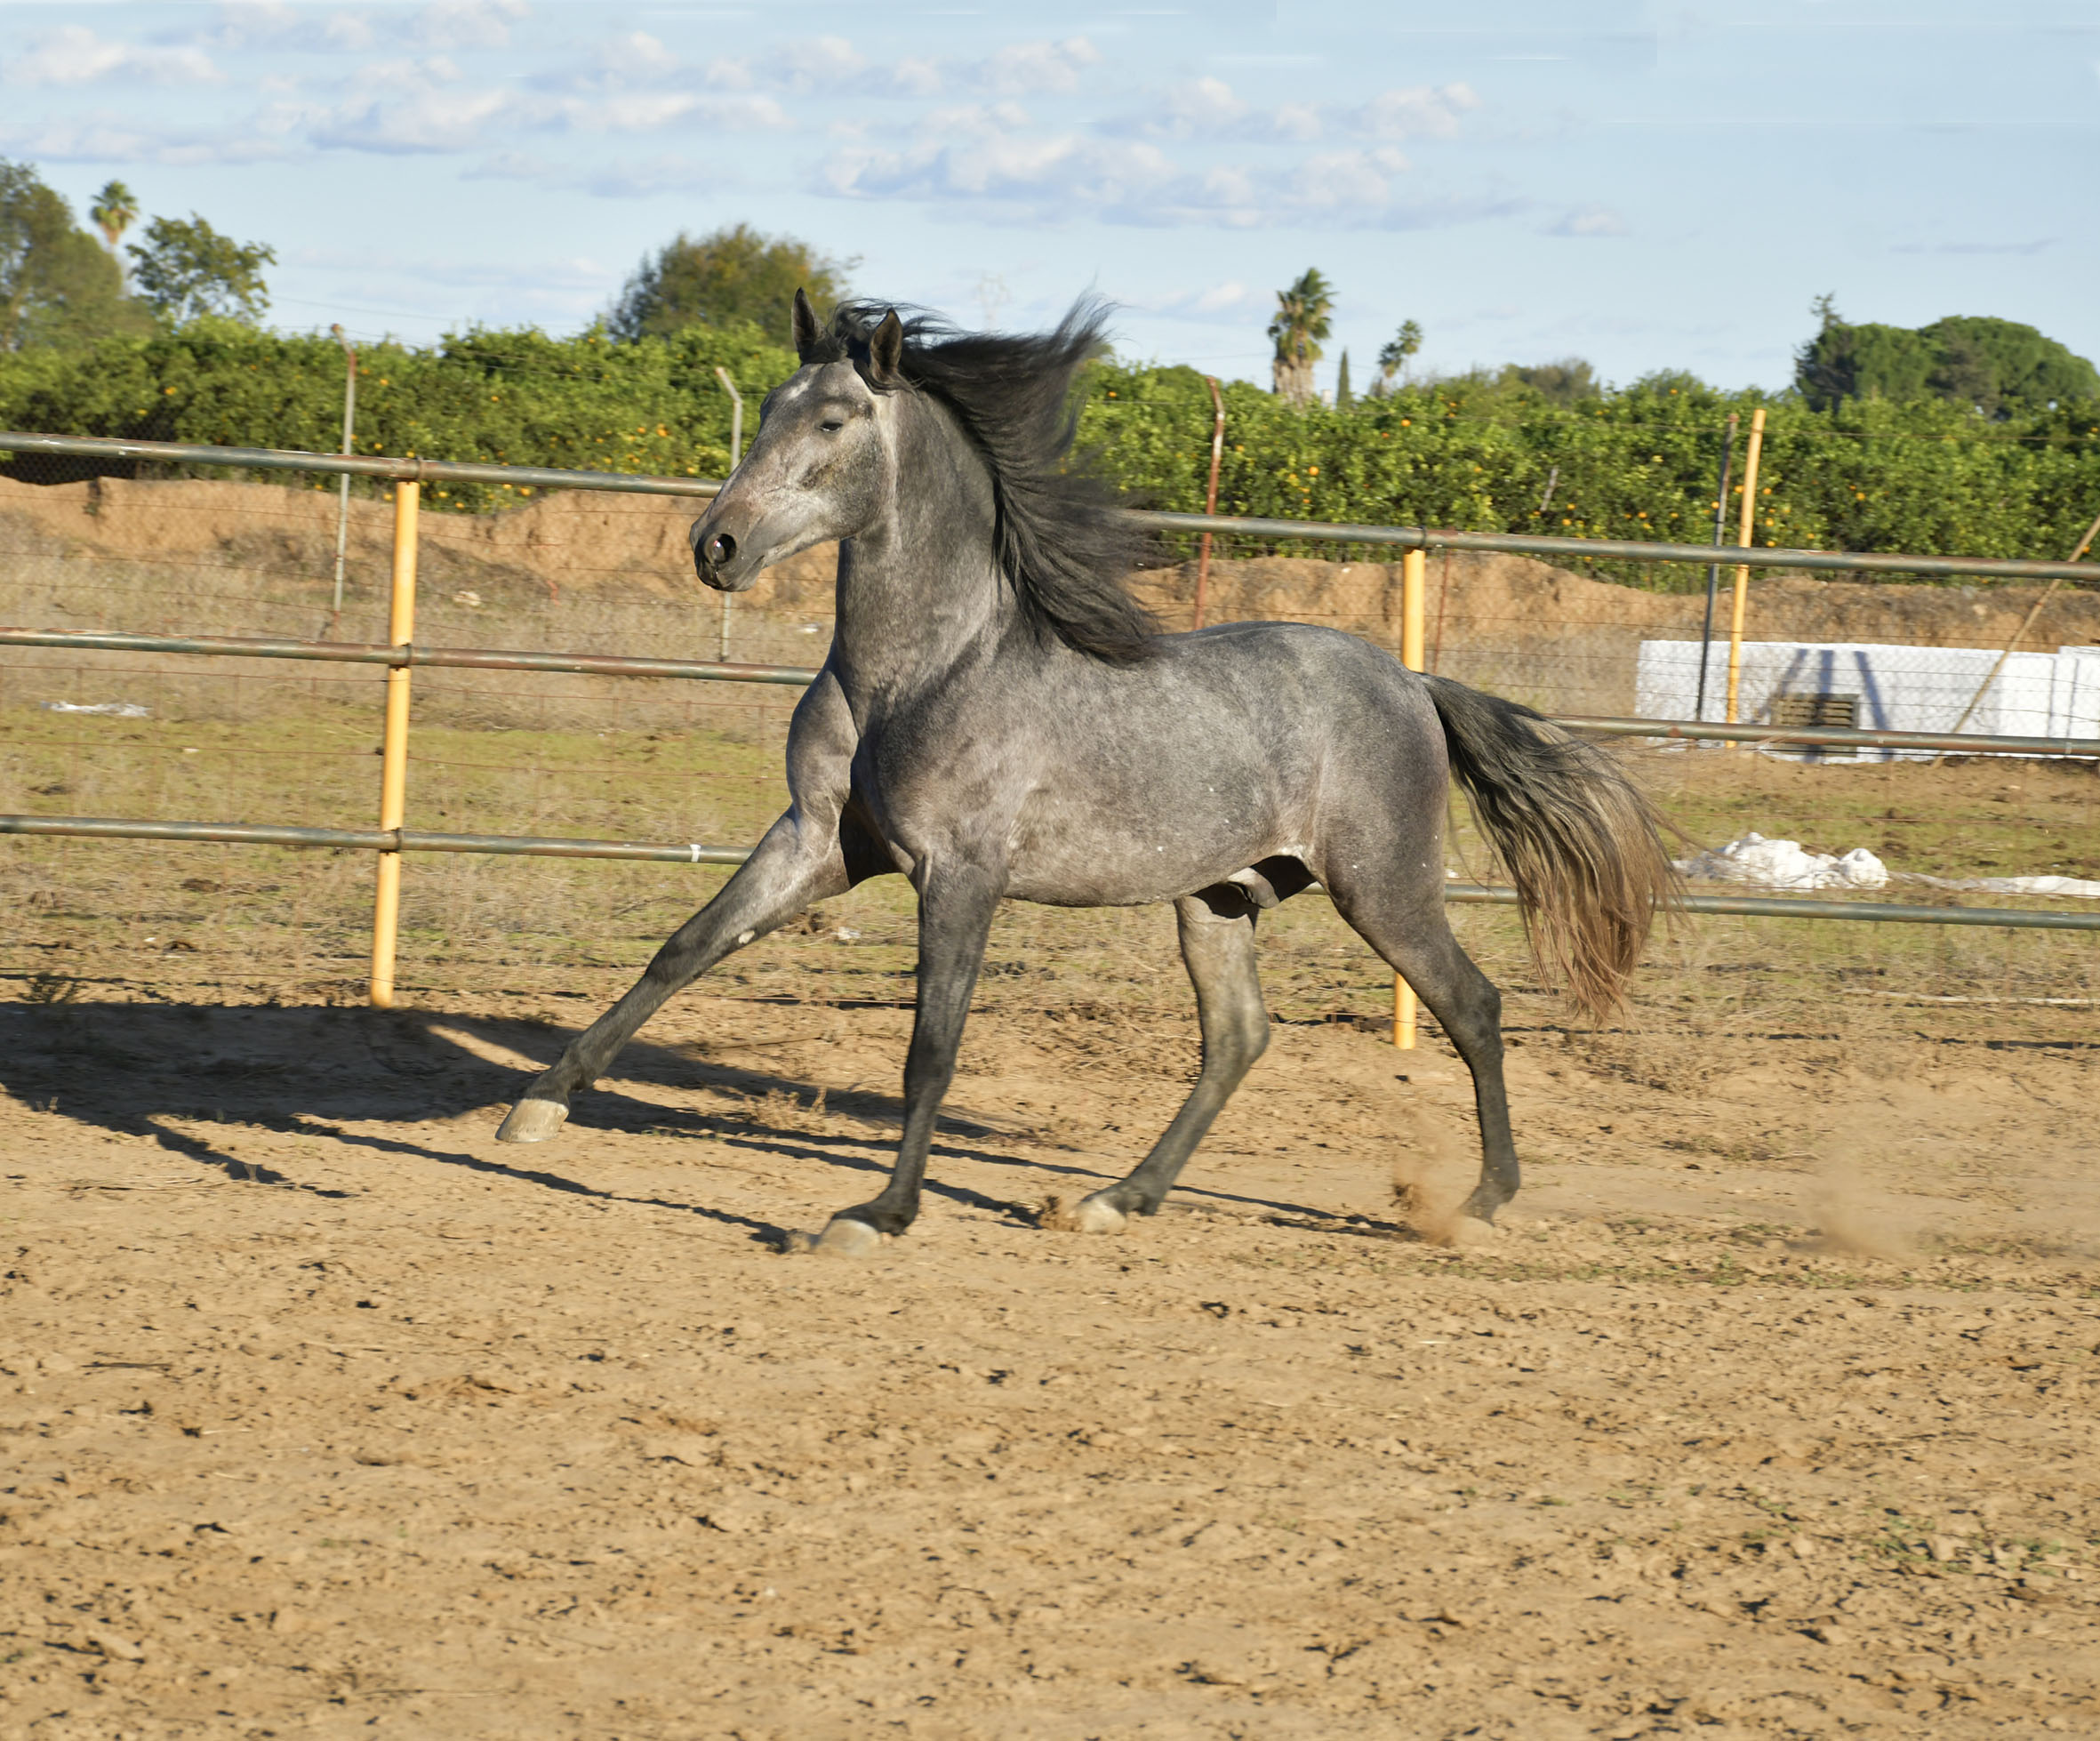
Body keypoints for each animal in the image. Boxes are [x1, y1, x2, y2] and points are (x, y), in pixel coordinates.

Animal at [491, 296, 1671, 1251]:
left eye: (831, 422)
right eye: (771, 405)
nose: (716, 546)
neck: (923, 669)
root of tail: (1412, 680)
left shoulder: (960, 873)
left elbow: (930, 1046)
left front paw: (877, 1214)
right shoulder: (820, 842)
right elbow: (684, 947)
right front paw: (536, 1109)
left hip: (1383, 885)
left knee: (1471, 1003)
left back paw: (1478, 1205)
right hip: (1217, 898)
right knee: (1238, 1037)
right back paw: (1115, 1198)